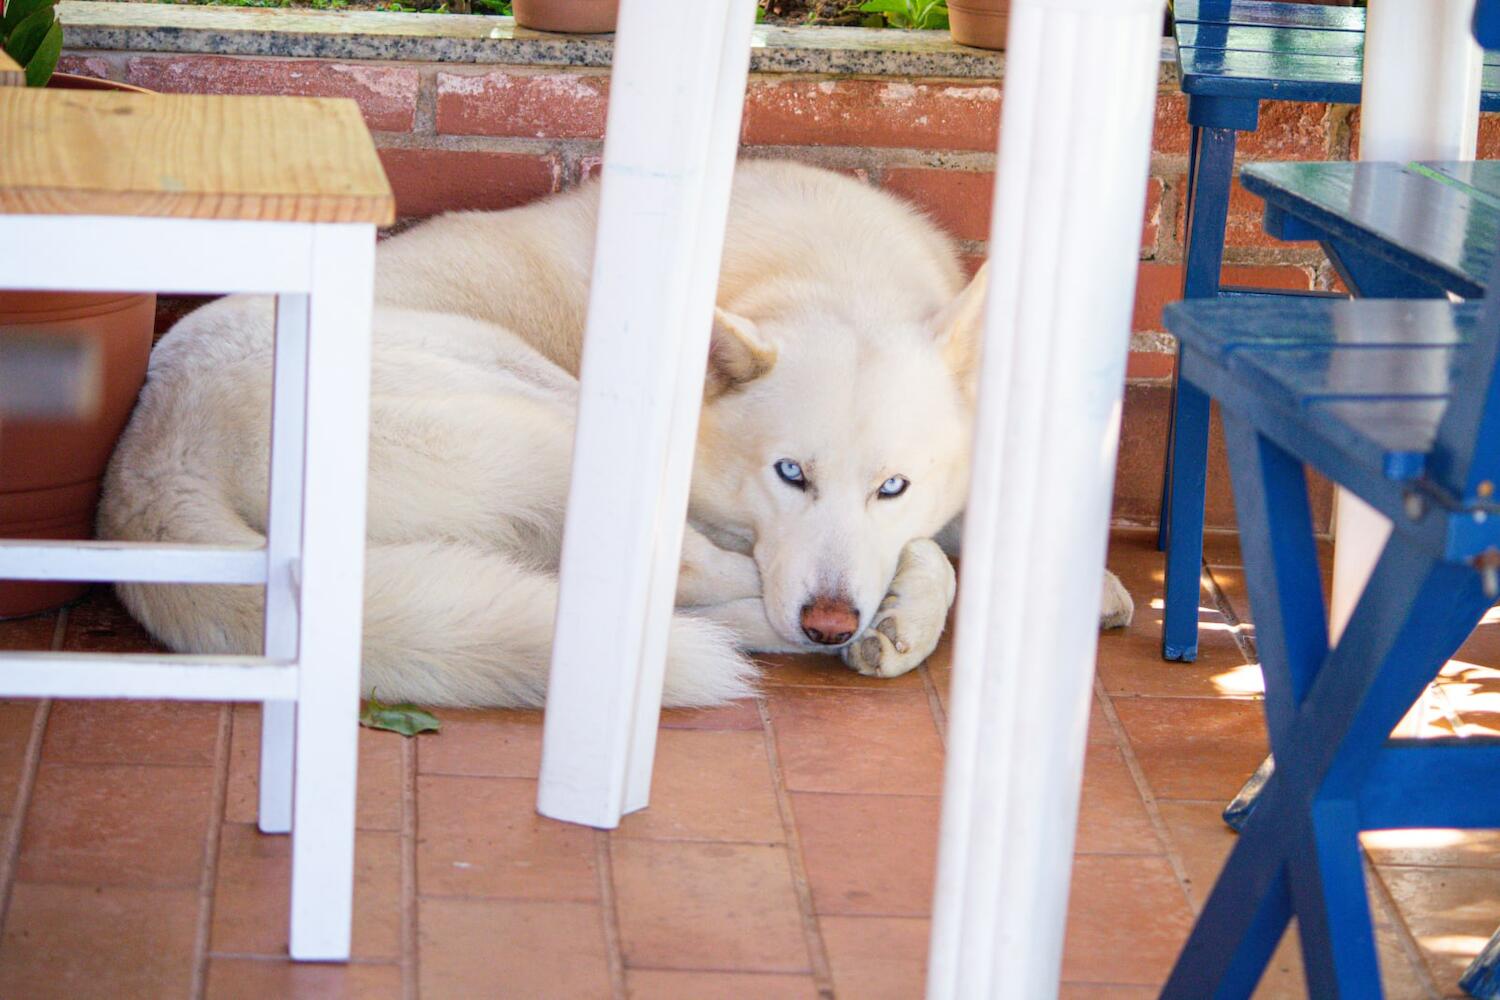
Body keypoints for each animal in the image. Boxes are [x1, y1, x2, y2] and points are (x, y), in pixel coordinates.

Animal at [96, 160, 1128, 707]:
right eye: (790, 473)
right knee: (680, 577)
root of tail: (145, 469)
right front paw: (904, 615)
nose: (831, 618)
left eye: (893, 485)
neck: (821, 274)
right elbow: (920, 557)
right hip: (541, 407)